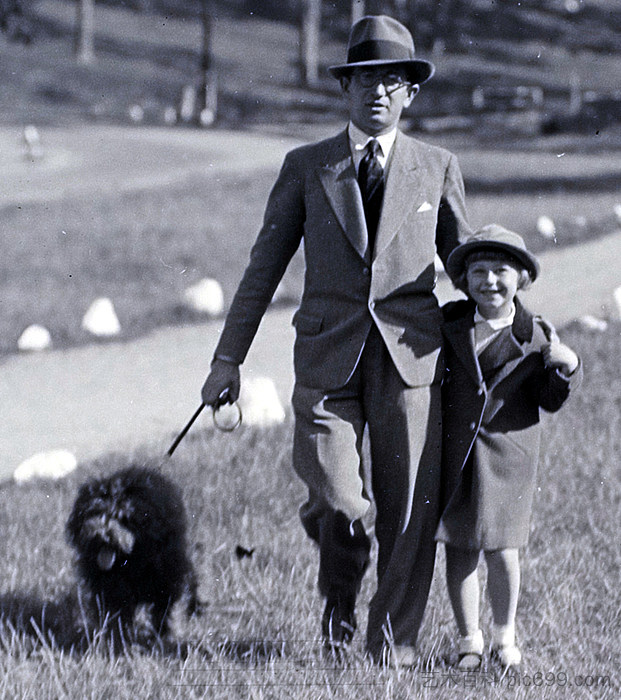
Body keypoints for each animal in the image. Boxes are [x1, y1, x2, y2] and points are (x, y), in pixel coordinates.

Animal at [65, 464, 199, 640]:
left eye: (124, 519)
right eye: (95, 513)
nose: (102, 535)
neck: (131, 563)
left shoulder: (171, 579)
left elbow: (172, 608)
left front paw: (172, 636)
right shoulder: (109, 589)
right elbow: (114, 614)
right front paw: (116, 638)